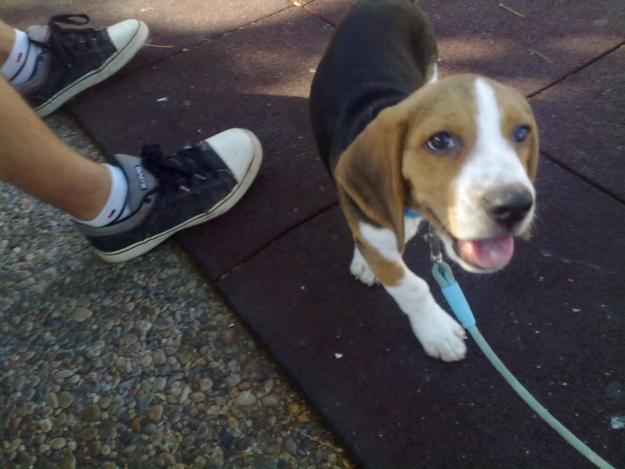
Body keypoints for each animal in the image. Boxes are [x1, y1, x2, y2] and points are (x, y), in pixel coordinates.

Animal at [310, 0, 540, 362]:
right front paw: (437, 332)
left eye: (521, 133)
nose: (515, 205)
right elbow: (412, 286)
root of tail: (380, 3)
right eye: (440, 141)